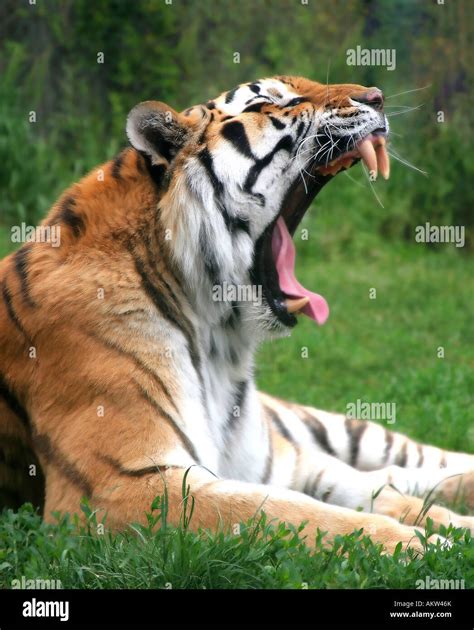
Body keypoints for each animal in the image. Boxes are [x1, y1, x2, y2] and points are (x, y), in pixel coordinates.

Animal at [0, 76, 474, 556]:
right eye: (270, 101)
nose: (377, 97)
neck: (216, 335)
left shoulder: (273, 463)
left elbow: (365, 494)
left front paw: (452, 531)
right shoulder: (123, 485)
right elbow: (292, 512)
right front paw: (426, 546)